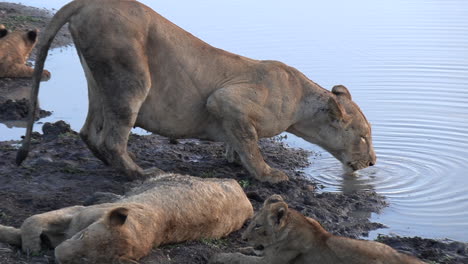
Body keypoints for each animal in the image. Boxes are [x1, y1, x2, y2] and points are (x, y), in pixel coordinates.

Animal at [0, 174, 254, 262]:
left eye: (85, 261)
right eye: (83, 236)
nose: (57, 255)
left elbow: (25, 227)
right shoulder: (77, 212)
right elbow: (30, 221)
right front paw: (31, 247)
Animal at [17, 0, 376, 184]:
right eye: (362, 137)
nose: (373, 162)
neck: (302, 101)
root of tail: (89, 1)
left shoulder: (232, 112)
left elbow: (241, 140)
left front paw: (234, 159)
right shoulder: (226, 99)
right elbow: (251, 143)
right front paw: (269, 175)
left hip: (98, 80)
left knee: (90, 131)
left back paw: (111, 165)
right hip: (130, 75)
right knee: (112, 138)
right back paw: (139, 173)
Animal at [210, 194, 426, 264]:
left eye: (257, 226)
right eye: (251, 222)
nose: (243, 238)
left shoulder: (271, 263)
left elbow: (241, 259)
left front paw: (222, 256)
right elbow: (249, 252)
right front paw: (242, 248)